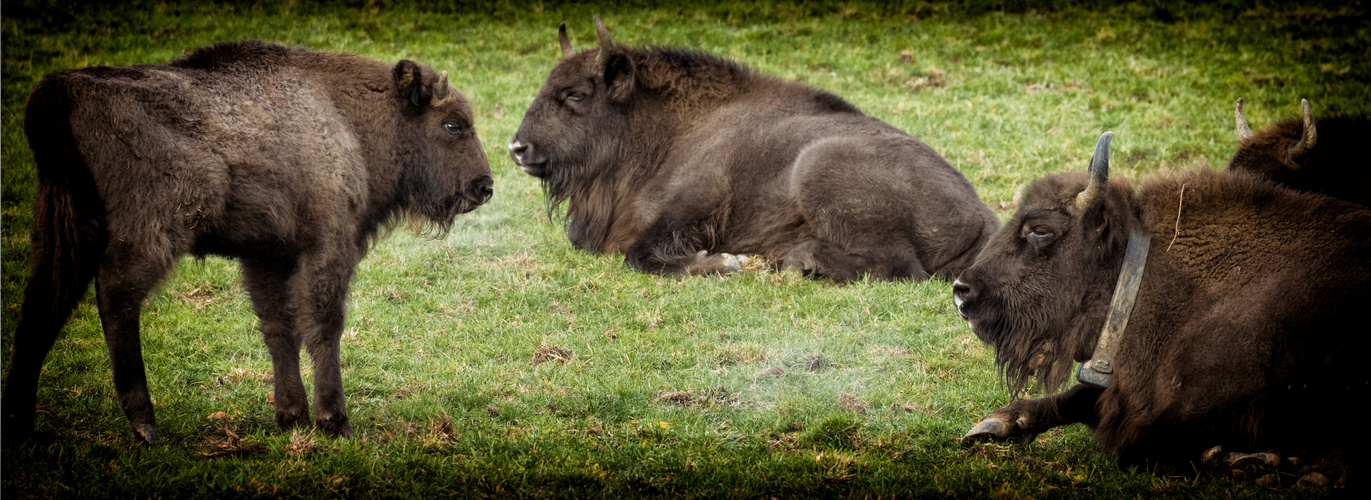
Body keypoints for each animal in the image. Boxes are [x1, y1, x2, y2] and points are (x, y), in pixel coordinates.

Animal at [2, 41, 496, 441]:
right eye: (453, 125)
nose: (485, 187)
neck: (345, 118)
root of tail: (61, 92)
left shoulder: (268, 255)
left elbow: (279, 327)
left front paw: (291, 417)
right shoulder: (328, 246)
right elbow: (324, 327)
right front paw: (334, 422)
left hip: (60, 229)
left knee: (42, 307)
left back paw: (21, 424)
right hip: (150, 234)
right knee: (116, 298)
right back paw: (145, 425)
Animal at [507, 18, 998, 280]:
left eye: (576, 94)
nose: (517, 147)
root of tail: (982, 219)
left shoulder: (691, 207)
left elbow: (641, 255)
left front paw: (727, 261)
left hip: (816, 167)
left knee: (900, 266)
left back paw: (798, 260)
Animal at [954, 130, 1371, 482]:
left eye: (1041, 230)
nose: (962, 291)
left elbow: (1139, 439)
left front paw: (1248, 460)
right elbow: (1083, 399)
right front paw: (996, 424)